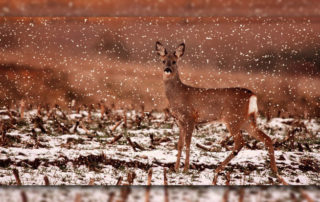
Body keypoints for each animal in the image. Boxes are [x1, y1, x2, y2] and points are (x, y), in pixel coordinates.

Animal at [156, 41, 284, 185]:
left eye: (174, 61)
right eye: (163, 61)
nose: (167, 69)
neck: (179, 94)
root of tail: (252, 95)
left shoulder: (190, 117)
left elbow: (188, 143)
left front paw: (185, 169)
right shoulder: (180, 121)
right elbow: (179, 144)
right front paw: (175, 168)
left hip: (232, 118)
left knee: (240, 142)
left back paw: (217, 169)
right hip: (247, 120)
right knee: (267, 138)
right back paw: (275, 171)